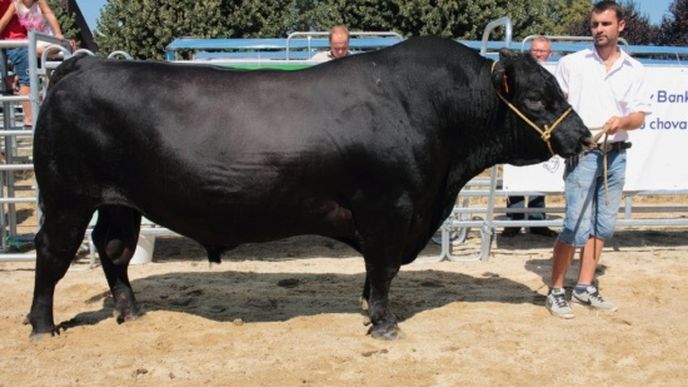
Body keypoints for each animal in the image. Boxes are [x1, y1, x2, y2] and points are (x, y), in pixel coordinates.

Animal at [28, 37, 592, 340]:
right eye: (538, 98)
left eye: (558, 90)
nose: (585, 136)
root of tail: (84, 64)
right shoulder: (389, 208)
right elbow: (383, 268)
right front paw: (384, 323)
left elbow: (374, 271)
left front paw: (369, 309)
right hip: (66, 197)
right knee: (53, 253)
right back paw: (42, 325)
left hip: (120, 201)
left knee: (114, 249)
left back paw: (131, 311)